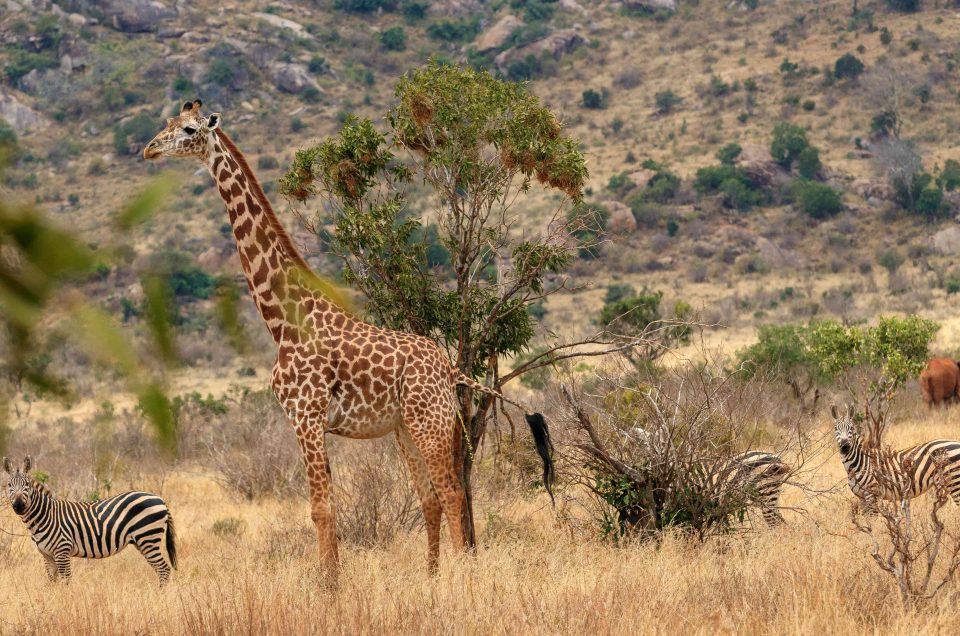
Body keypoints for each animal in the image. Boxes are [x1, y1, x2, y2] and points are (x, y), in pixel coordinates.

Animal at [143, 100, 554, 573]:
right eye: (167, 123)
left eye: (189, 130)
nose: (149, 149)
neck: (283, 322)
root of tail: (450, 368)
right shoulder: (309, 421)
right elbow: (328, 508)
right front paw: (333, 580)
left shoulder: (305, 415)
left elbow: (321, 509)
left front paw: (329, 585)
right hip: (405, 428)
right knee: (431, 497)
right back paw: (430, 577)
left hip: (429, 422)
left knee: (453, 492)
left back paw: (458, 574)